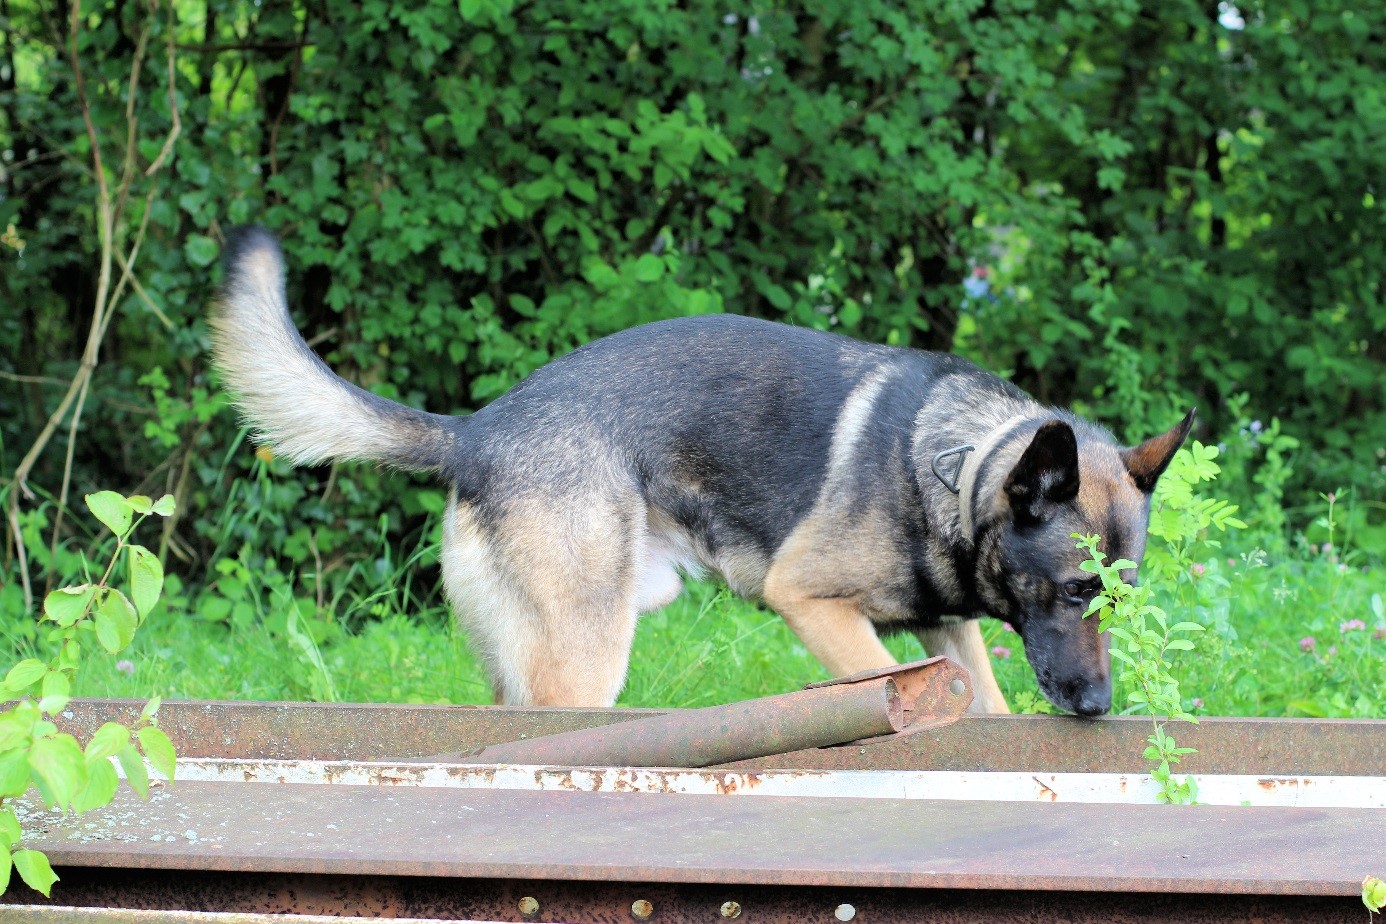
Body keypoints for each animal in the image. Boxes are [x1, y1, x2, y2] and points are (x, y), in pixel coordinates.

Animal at [207, 227, 1191, 720]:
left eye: (1125, 597)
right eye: (1077, 591)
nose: (1098, 708)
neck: (953, 467)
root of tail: (476, 431)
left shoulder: (948, 633)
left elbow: (981, 708)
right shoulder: (815, 606)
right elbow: (883, 684)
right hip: (584, 663)